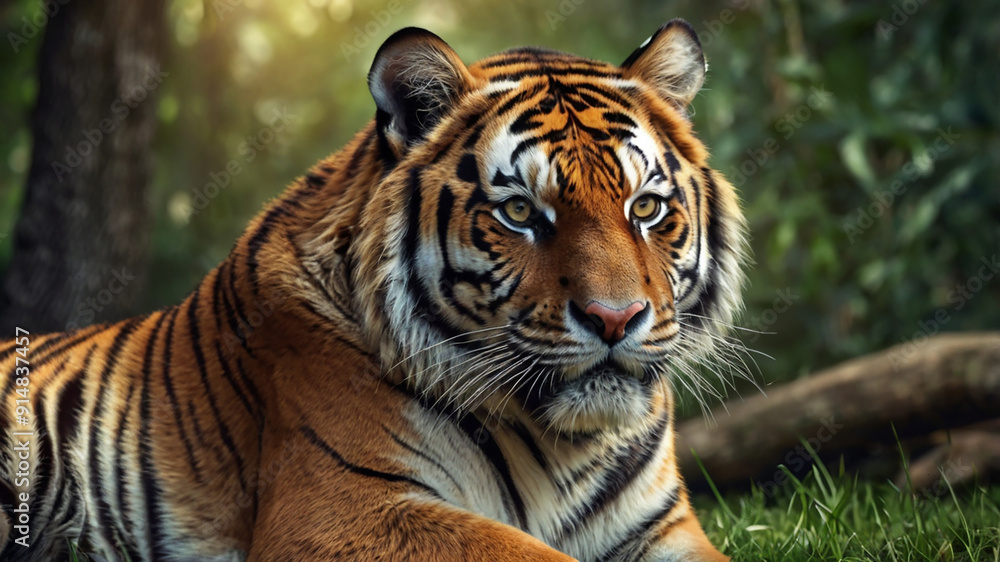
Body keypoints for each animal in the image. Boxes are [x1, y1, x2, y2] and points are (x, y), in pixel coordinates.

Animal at [0, 18, 744, 561]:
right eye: (520, 212)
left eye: (645, 208)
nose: (616, 319)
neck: (564, 445)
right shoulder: (343, 509)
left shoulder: (659, 526)